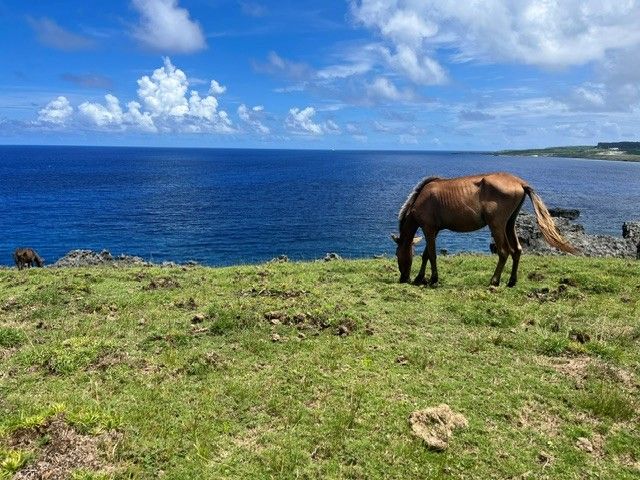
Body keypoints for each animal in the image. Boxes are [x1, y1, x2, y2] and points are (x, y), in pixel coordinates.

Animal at [391, 172, 576, 287]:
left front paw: (431, 279)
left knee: (504, 251)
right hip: (509, 224)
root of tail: (520, 183)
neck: (421, 199)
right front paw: (420, 278)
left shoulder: (429, 229)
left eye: (397, 254)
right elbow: (426, 255)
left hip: (496, 225)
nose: (403, 278)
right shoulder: (434, 231)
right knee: (517, 250)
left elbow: (432, 255)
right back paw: (511, 281)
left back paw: (494, 280)